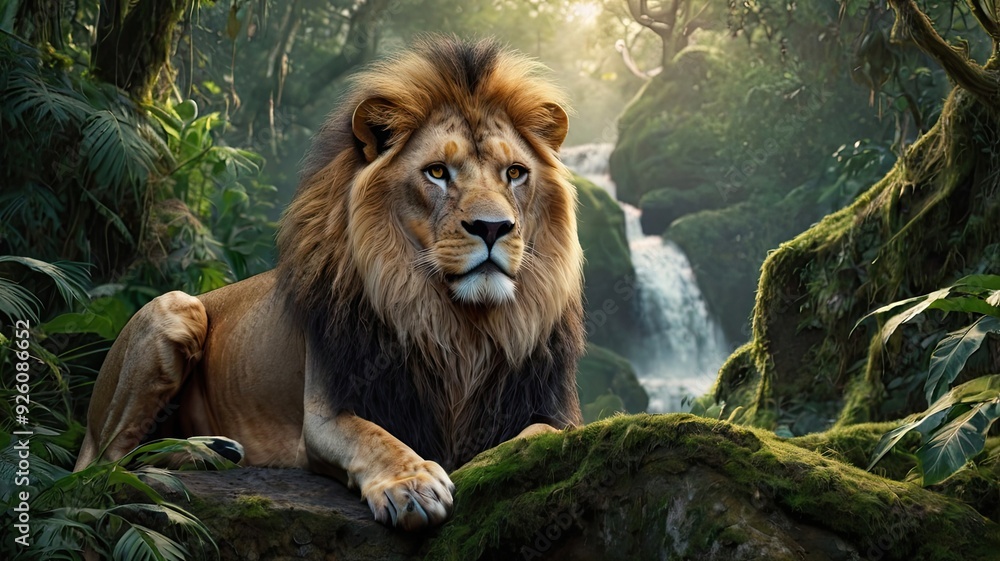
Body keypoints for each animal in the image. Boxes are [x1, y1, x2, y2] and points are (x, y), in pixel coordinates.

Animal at [74, 37, 585, 531]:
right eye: (438, 172)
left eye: (514, 173)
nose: (493, 227)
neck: (458, 325)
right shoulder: (323, 416)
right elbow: (374, 436)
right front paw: (412, 484)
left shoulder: (552, 410)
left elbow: (545, 436)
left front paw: (497, 462)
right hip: (177, 306)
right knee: (109, 466)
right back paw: (206, 454)